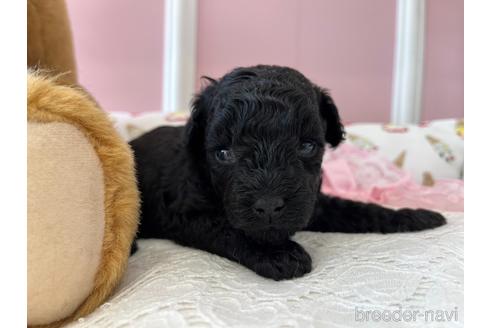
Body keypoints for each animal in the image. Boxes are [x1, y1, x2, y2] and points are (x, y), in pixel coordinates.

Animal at [131, 65, 446, 280]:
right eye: (223, 153)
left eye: (306, 146)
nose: (269, 205)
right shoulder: (187, 214)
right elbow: (229, 228)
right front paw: (279, 254)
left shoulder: (313, 202)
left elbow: (357, 210)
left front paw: (414, 216)